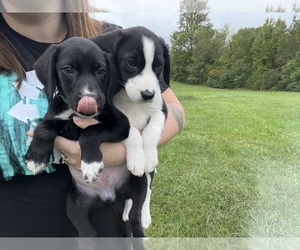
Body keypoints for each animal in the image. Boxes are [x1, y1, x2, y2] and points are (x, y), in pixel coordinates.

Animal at [24, 36, 129, 183]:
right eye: (68, 69)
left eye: (101, 71)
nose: (90, 98)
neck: (73, 113)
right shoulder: (54, 115)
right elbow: (43, 128)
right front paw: (35, 158)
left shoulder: (121, 123)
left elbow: (90, 131)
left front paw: (91, 163)